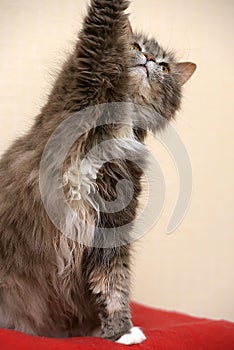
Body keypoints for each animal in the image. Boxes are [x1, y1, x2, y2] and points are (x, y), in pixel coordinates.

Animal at [0, 0, 196, 344]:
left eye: (165, 67)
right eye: (135, 47)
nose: (148, 60)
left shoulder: (112, 221)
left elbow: (113, 283)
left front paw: (121, 332)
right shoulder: (88, 68)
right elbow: (105, 16)